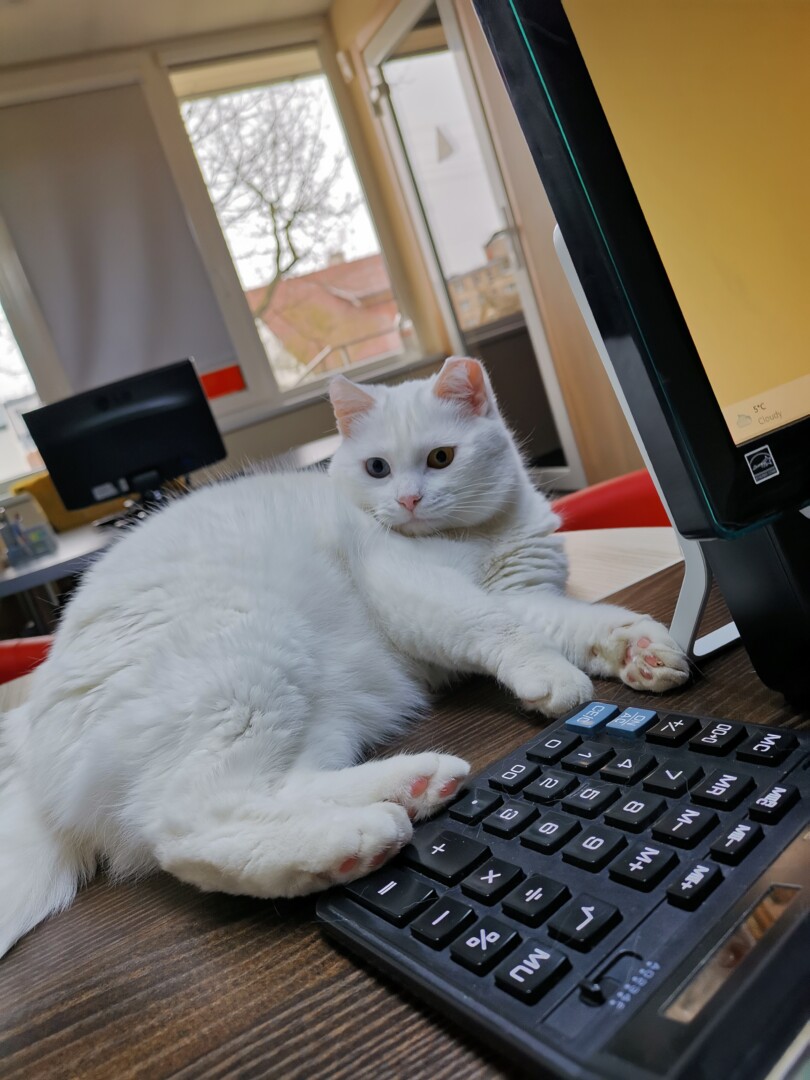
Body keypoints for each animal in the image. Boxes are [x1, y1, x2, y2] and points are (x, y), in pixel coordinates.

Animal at [0, 357, 688, 959]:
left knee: (281, 787)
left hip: (322, 709)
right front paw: (549, 676)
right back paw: (354, 839)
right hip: (250, 664)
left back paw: (411, 787)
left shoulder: (526, 593)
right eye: (377, 468)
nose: (407, 501)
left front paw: (644, 650)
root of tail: (32, 766)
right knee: (188, 823)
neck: (477, 538)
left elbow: (579, 621)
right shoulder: (411, 586)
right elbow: (496, 625)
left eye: (441, 458)